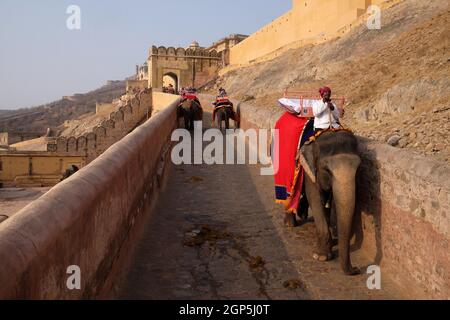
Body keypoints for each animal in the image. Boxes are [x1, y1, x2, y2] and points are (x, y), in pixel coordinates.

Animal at [298, 130, 362, 276]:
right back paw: (290, 223)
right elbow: (315, 199)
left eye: (358, 169)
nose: (356, 269)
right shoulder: (310, 171)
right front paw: (321, 257)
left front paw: (330, 246)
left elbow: (327, 201)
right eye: (327, 170)